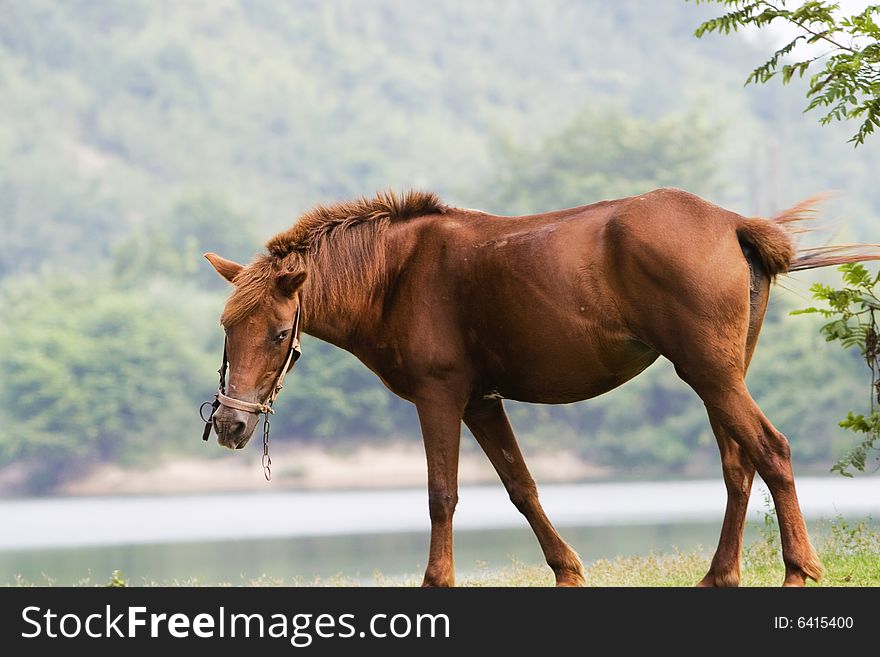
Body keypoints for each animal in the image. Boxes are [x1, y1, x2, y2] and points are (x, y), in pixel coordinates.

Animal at [205, 187, 880, 588]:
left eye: (276, 334)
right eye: (227, 327)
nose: (232, 425)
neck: (397, 274)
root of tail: (734, 222)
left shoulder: (440, 396)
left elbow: (442, 495)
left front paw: (436, 582)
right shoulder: (482, 402)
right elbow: (522, 488)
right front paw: (567, 572)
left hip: (709, 374)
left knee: (772, 450)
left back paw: (798, 571)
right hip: (721, 376)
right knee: (739, 465)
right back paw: (720, 577)